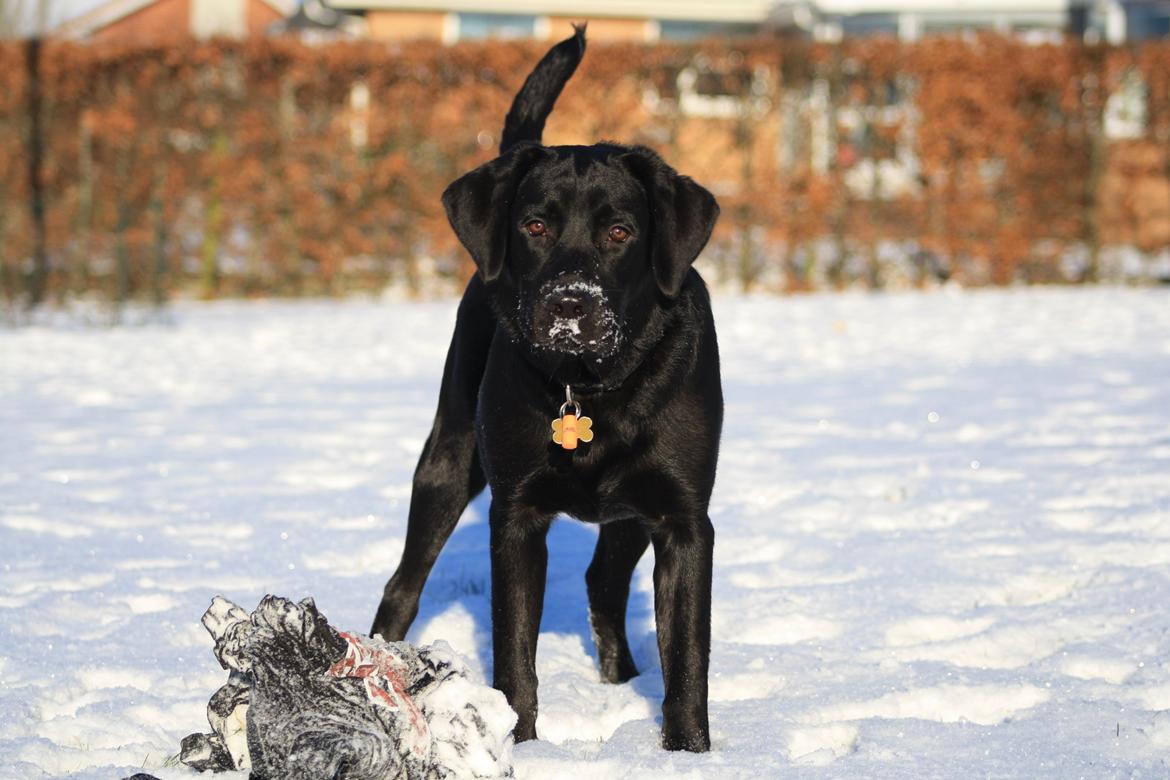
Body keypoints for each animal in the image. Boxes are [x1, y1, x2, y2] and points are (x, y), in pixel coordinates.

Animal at [372, 27, 720, 753]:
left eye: (620, 231)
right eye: (534, 226)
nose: (569, 303)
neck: (594, 390)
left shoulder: (682, 518)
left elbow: (687, 656)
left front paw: (689, 752)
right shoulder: (516, 515)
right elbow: (514, 654)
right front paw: (521, 743)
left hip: (629, 512)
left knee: (602, 583)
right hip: (448, 460)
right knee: (403, 587)